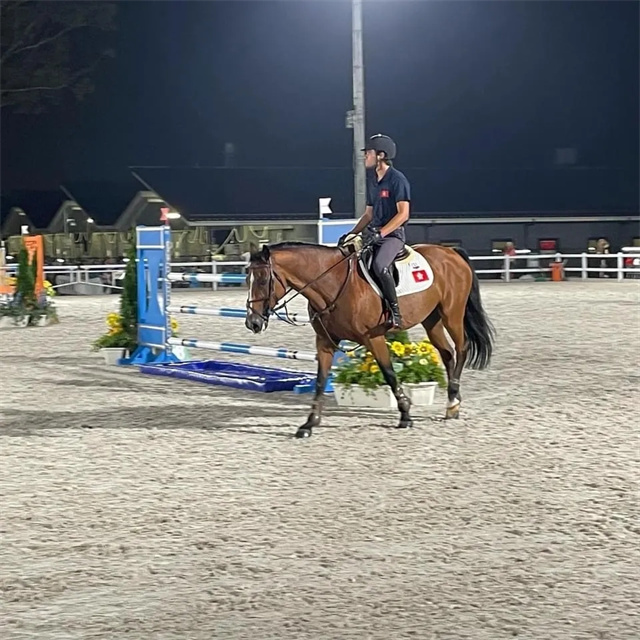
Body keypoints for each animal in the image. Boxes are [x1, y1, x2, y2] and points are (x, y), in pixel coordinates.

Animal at [245, 241, 495, 438]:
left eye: (263, 279)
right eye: (247, 278)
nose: (253, 323)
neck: (333, 284)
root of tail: (450, 251)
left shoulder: (373, 338)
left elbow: (389, 373)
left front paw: (405, 414)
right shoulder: (325, 342)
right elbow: (320, 381)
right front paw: (309, 424)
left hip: (452, 313)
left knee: (461, 349)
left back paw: (453, 401)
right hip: (431, 319)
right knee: (447, 354)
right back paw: (453, 403)